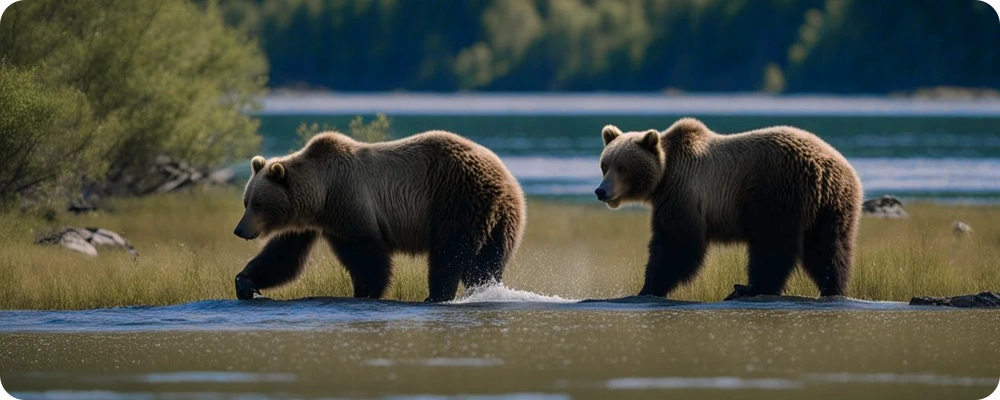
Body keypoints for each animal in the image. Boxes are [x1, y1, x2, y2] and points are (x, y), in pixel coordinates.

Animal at [232, 130, 526, 302]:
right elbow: (283, 257)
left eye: (257, 203)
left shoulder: (350, 203)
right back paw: (486, 289)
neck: (321, 195)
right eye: (246, 201)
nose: (239, 230)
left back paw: (436, 295)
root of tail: (507, 178)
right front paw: (246, 284)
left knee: (451, 253)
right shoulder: (309, 222)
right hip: (502, 219)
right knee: (487, 261)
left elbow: (368, 256)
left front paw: (364, 293)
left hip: (458, 199)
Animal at [595, 117, 862, 300]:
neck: (665, 176)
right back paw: (833, 287)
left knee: (773, 243)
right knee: (828, 249)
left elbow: (677, 244)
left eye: (622, 167)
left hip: (779, 192)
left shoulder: (684, 193)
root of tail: (833, 167)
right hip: (833, 207)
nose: (601, 191)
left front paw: (648, 287)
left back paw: (748, 288)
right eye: (604, 165)